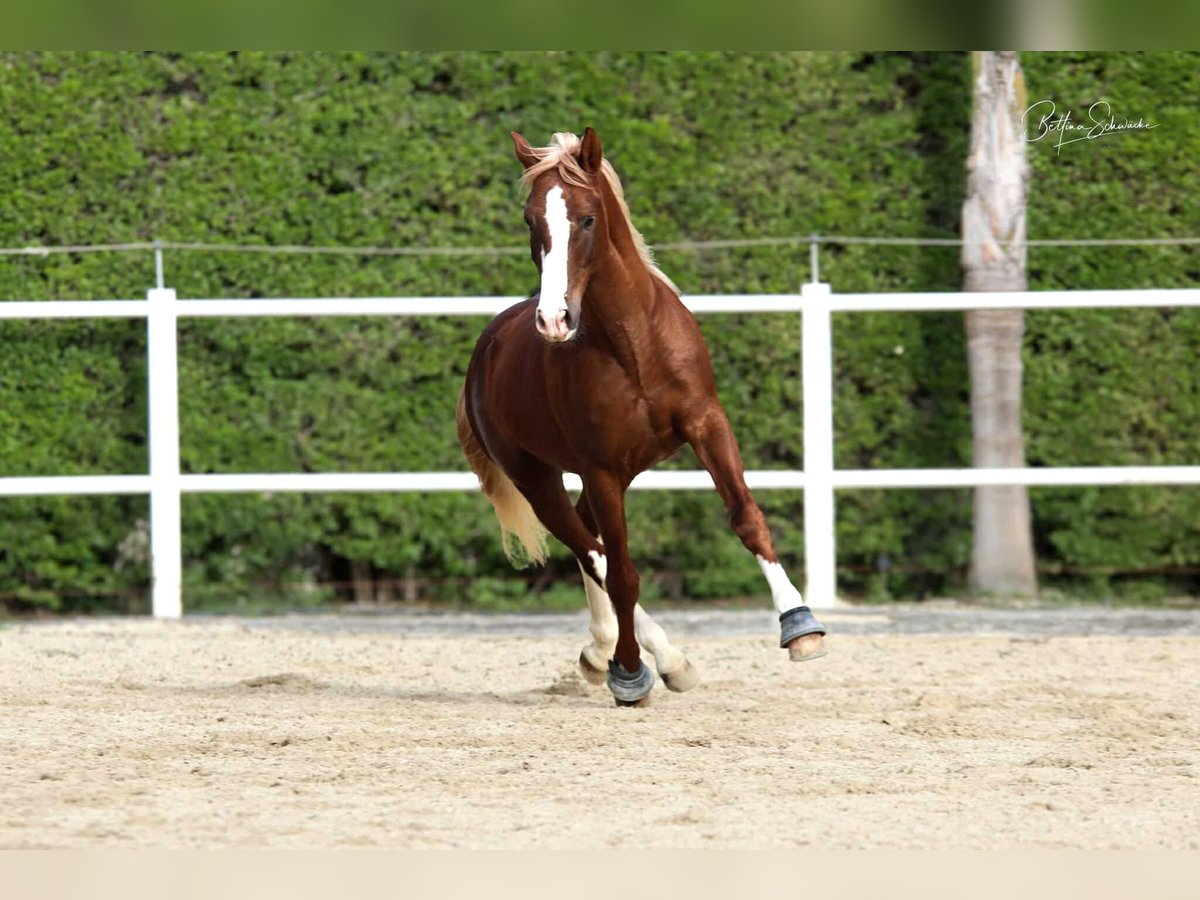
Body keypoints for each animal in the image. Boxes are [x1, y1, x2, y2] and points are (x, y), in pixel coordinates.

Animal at [456, 128, 825, 705]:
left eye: (587, 218)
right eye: (531, 220)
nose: (554, 319)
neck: (632, 343)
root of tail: (484, 351)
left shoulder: (707, 425)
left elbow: (746, 516)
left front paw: (800, 625)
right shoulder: (601, 468)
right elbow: (623, 572)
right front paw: (630, 672)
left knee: (589, 543)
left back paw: (601, 649)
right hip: (540, 478)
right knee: (591, 551)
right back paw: (653, 657)